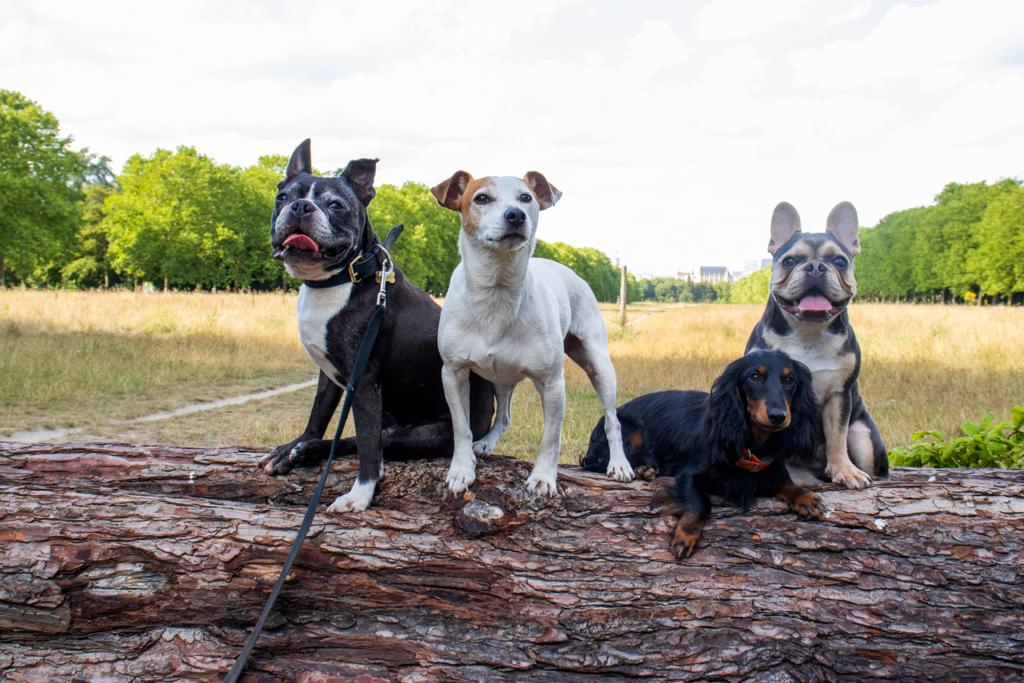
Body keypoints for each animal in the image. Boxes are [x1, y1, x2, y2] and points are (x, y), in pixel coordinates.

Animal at [258, 140, 493, 511]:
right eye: (283, 196)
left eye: (335, 205)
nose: (300, 206)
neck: (340, 280)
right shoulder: (328, 375)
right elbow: (318, 415)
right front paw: (297, 443)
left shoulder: (364, 380)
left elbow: (368, 446)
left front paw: (361, 493)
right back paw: (301, 451)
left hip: (430, 433)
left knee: (369, 441)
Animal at [430, 167, 630, 493]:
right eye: (481, 198)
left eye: (526, 198)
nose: (515, 215)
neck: (497, 291)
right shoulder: (453, 372)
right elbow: (461, 427)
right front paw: (461, 469)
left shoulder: (552, 383)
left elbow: (551, 437)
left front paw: (543, 477)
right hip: (499, 378)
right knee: (505, 416)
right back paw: (486, 443)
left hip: (599, 364)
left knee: (612, 419)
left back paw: (619, 464)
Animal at [745, 200, 888, 489]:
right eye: (789, 260)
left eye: (839, 261)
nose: (814, 267)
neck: (808, 333)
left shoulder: (839, 395)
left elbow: (837, 436)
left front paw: (844, 470)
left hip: (863, 435)